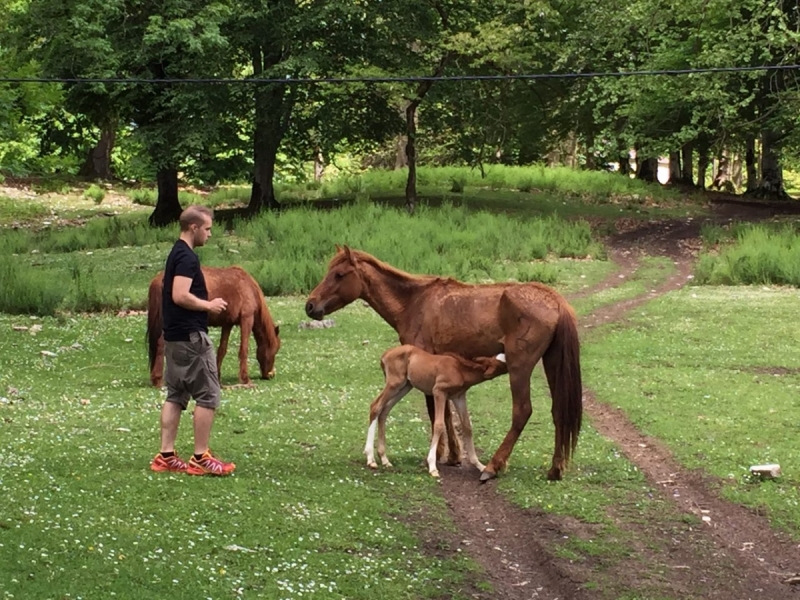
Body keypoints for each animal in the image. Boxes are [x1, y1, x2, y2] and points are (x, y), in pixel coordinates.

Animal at [147, 266, 282, 386]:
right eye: (275, 349)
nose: (269, 375)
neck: (250, 288)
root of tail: (158, 279)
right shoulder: (247, 319)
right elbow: (244, 349)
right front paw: (245, 379)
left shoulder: (227, 324)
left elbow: (222, 349)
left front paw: (217, 376)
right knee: (161, 345)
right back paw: (158, 380)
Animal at [364, 346, 506, 478]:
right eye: (502, 364)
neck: (460, 370)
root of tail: (385, 354)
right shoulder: (439, 392)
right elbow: (438, 424)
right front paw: (432, 466)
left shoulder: (459, 397)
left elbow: (467, 427)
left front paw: (480, 465)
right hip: (394, 383)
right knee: (375, 406)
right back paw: (371, 458)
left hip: (405, 386)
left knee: (384, 410)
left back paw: (384, 459)